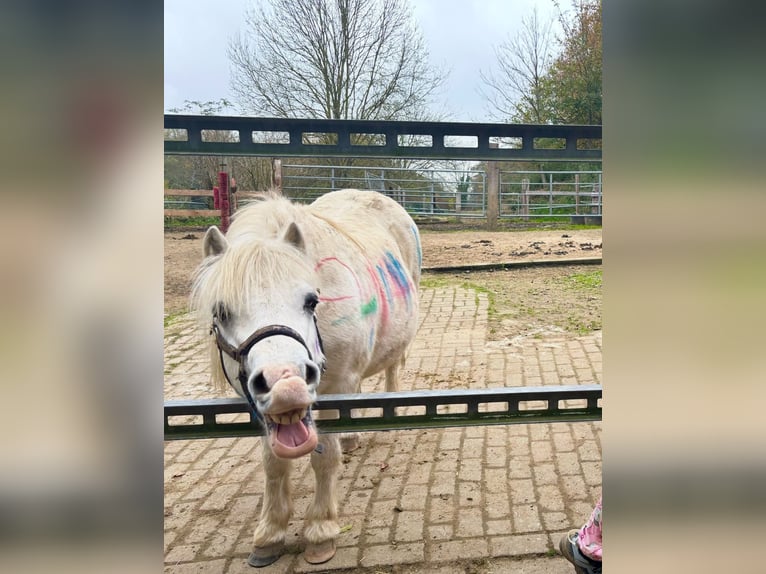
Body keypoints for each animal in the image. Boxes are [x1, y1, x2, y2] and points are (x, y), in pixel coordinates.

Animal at [190, 189, 424, 568]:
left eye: (311, 301)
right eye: (221, 311)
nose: (286, 386)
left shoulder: (337, 386)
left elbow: (324, 458)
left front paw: (321, 530)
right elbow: (273, 463)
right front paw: (270, 534)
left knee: (392, 367)